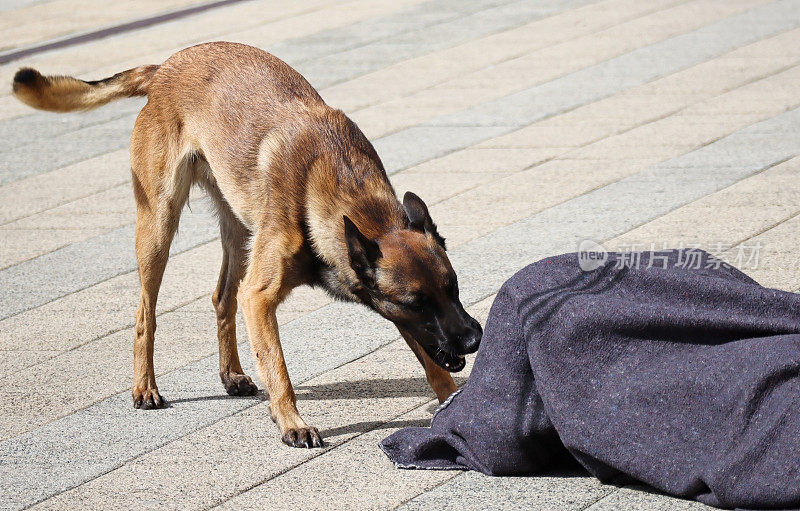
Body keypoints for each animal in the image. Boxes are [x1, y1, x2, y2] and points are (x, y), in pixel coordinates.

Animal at [12, 42, 482, 448]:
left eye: (454, 289)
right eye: (417, 302)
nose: (475, 339)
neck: (339, 186)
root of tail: (164, 67)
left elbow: (432, 362)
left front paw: (451, 403)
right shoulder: (261, 297)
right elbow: (279, 367)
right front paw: (291, 422)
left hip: (240, 235)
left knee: (223, 296)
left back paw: (231, 374)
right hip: (159, 227)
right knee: (147, 312)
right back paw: (144, 386)